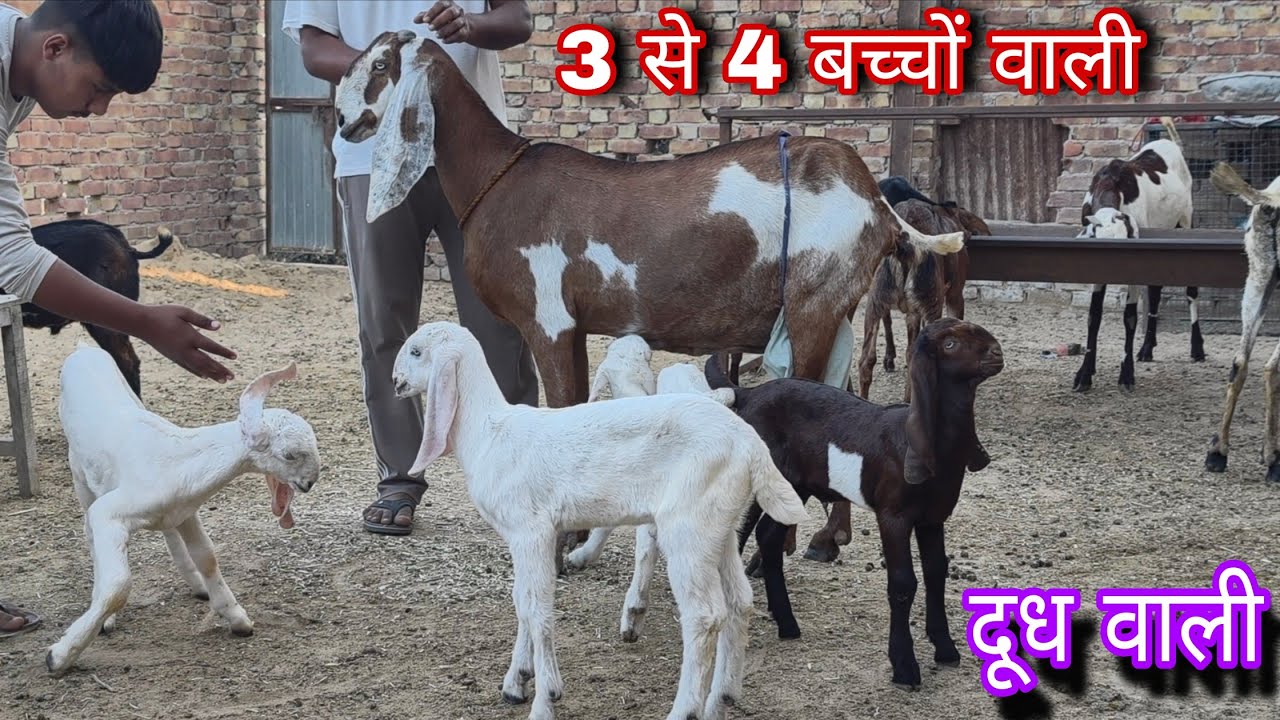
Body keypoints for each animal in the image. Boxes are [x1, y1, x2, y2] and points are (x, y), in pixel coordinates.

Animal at [46, 344, 320, 677]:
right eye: (289, 454)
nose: (309, 482)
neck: (175, 460)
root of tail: (83, 350)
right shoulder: (109, 511)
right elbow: (118, 585)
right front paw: (61, 655)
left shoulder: (187, 510)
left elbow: (207, 556)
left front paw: (235, 617)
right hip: (79, 472)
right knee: (89, 531)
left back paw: (196, 585)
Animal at [391, 321, 807, 720]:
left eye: (416, 351)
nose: (395, 381)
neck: (488, 431)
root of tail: (750, 446)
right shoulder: (522, 536)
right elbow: (521, 601)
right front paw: (517, 681)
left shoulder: (531, 530)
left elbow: (538, 609)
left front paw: (545, 700)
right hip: (721, 524)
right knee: (739, 602)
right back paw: (720, 700)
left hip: (688, 525)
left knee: (704, 616)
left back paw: (685, 709)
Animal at [698, 318, 1003, 690]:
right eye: (949, 345)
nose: (996, 353)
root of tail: (749, 394)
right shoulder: (893, 515)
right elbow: (903, 582)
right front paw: (904, 668)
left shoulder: (933, 517)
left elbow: (936, 572)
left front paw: (946, 650)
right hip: (758, 476)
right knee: (740, 532)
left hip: (794, 486)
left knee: (768, 536)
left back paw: (787, 624)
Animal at [1073, 117, 1199, 393]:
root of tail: (1169, 143)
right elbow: (1093, 316)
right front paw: (1085, 373)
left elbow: (1129, 317)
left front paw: (1126, 374)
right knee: (1155, 292)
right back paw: (1147, 348)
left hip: (1185, 219)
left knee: (1191, 290)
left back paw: (1198, 348)